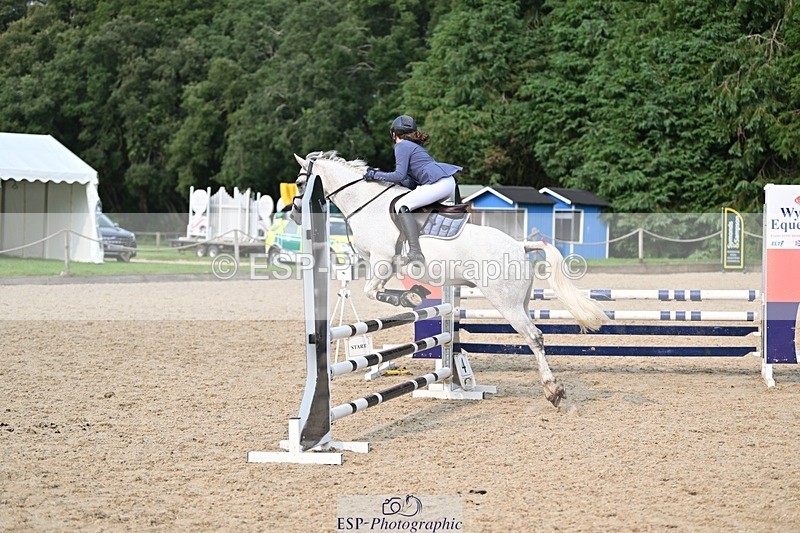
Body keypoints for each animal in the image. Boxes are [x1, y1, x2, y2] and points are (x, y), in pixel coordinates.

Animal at [291, 151, 607, 406]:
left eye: (299, 183)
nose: (294, 214)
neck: (366, 205)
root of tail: (520, 245)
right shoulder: (382, 264)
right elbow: (378, 290)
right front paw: (414, 292)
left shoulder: (381, 261)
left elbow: (372, 291)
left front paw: (410, 296)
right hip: (523, 301)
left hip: (507, 304)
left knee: (534, 337)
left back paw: (553, 390)